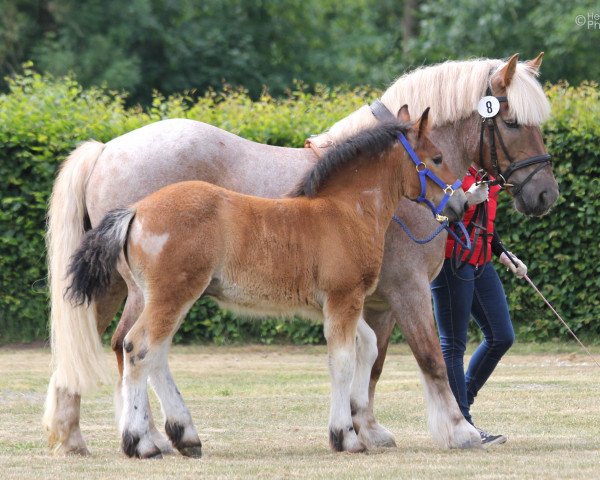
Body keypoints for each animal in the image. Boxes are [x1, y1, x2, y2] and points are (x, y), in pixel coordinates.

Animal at [45, 52, 556, 454]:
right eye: (512, 122)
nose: (544, 194)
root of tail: (107, 149)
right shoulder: (406, 291)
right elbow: (427, 358)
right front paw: (456, 430)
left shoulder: (376, 302)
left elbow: (371, 364)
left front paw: (365, 428)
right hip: (146, 291)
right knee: (131, 347)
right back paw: (134, 436)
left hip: (123, 288)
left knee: (111, 346)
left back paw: (102, 436)